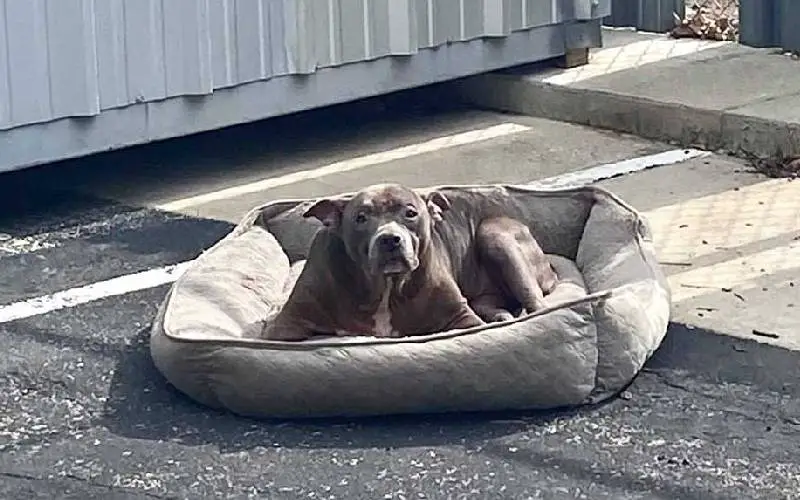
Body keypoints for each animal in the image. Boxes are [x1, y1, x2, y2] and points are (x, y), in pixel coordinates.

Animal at [262, 185, 556, 344]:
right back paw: (501, 315)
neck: (384, 288)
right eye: (360, 217)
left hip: (494, 234)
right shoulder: (287, 324)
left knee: (537, 305)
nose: (390, 239)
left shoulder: (463, 318)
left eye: (410, 213)